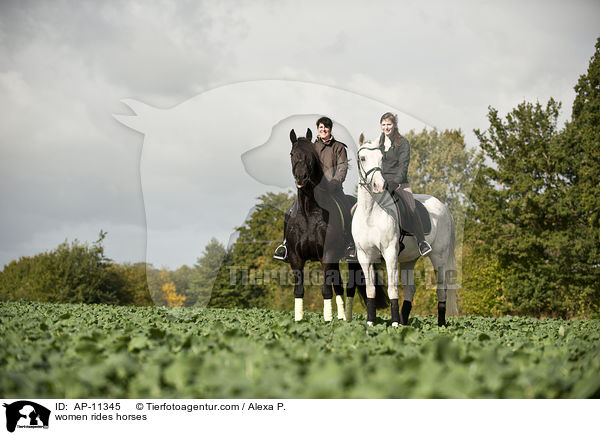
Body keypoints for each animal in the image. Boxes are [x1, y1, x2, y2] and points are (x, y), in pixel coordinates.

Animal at [288, 127, 386, 322]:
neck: (309, 211)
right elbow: (299, 290)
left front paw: (327, 320)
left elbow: (326, 290)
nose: (301, 178)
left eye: (311, 155)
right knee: (339, 285)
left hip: (353, 259)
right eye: (292, 154)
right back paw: (341, 317)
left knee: (349, 287)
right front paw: (299, 320)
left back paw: (345, 318)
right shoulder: (296, 258)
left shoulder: (327, 255)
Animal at [350, 135, 458, 328]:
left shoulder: (390, 253)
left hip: (438, 257)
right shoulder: (364, 256)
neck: (371, 212)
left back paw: (440, 324)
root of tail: (444, 208)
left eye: (381, 158)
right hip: (409, 260)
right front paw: (370, 322)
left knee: (441, 289)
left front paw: (393, 324)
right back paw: (404, 322)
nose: (379, 185)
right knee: (410, 290)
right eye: (362, 158)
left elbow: (392, 288)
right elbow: (370, 289)